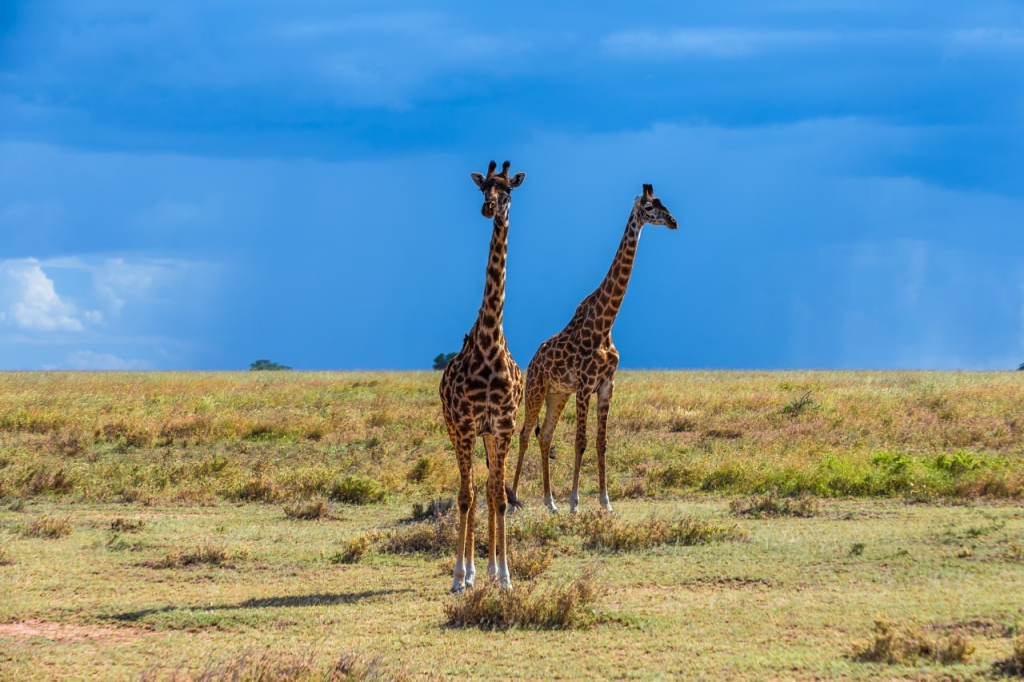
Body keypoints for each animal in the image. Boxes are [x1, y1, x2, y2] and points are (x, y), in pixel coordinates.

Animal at [512, 183, 679, 512]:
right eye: (650, 208)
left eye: (664, 204)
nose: (674, 222)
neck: (606, 323)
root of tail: (533, 360)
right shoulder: (585, 385)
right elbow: (581, 441)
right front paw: (575, 503)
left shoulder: (606, 386)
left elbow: (601, 443)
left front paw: (605, 503)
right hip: (536, 388)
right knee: (524, 434)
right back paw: (511, 499)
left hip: (558, 394)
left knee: (545, 436)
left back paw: (550, 502)